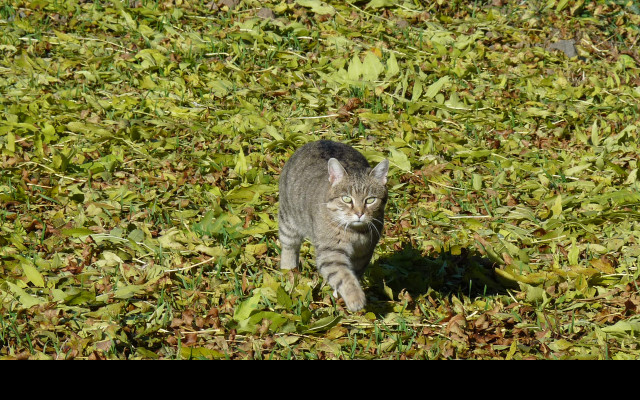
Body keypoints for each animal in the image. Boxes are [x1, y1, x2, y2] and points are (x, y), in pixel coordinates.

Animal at [276, 141, 388, 312]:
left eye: (370, 200)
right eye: (346, 199)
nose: (359, 213)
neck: (356, 233)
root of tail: (319, 141)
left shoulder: (364, 253)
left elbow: (353, 274)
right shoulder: (331, 253)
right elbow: (344, 276)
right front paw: (355, 298)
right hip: (289, 221)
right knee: (289, 247)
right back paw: (289, 271)